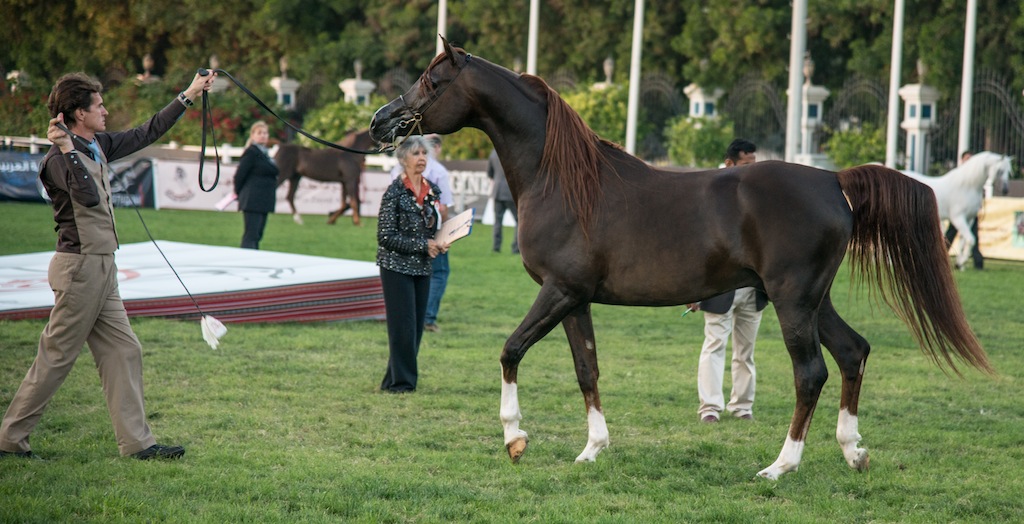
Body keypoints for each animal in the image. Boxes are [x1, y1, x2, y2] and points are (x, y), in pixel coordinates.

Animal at [369, 38, 993, 480]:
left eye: (432, 80)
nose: (381, 122)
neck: (564, 180)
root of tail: (832, 180)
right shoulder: (574, 299)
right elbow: (587, 368)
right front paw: (592, 449)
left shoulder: (557, 291)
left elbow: (510, 351)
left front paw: (514, 439)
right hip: (815, 300)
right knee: (852, 353)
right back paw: (853, 452)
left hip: (792, 301)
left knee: (811, 372)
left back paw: (780, 466)